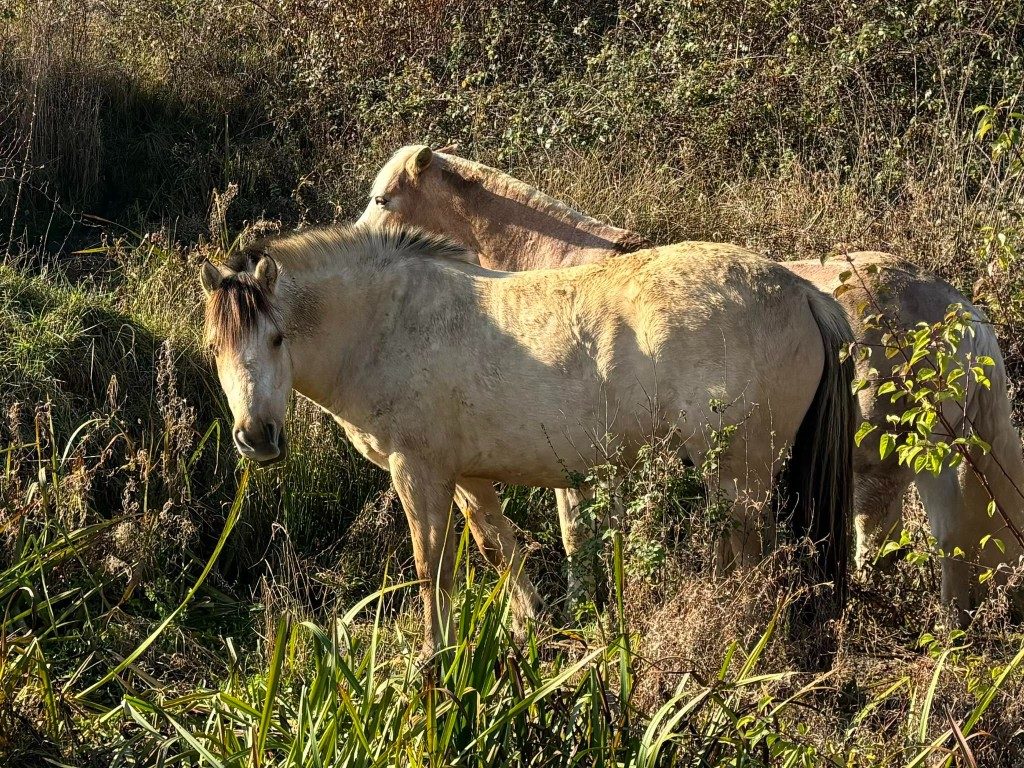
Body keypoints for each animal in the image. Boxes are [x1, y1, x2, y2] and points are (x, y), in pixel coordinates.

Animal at [200, 224, 855, 657]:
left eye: (278, 338)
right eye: (216, 347)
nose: (257, 437)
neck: (385, 324)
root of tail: (802, 290)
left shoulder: (418, 471)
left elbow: (431, 567)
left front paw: (435, 660)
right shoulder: (466, 476)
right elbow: (500, 552)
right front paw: (528, 633)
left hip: (738, 474)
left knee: (754, 553)